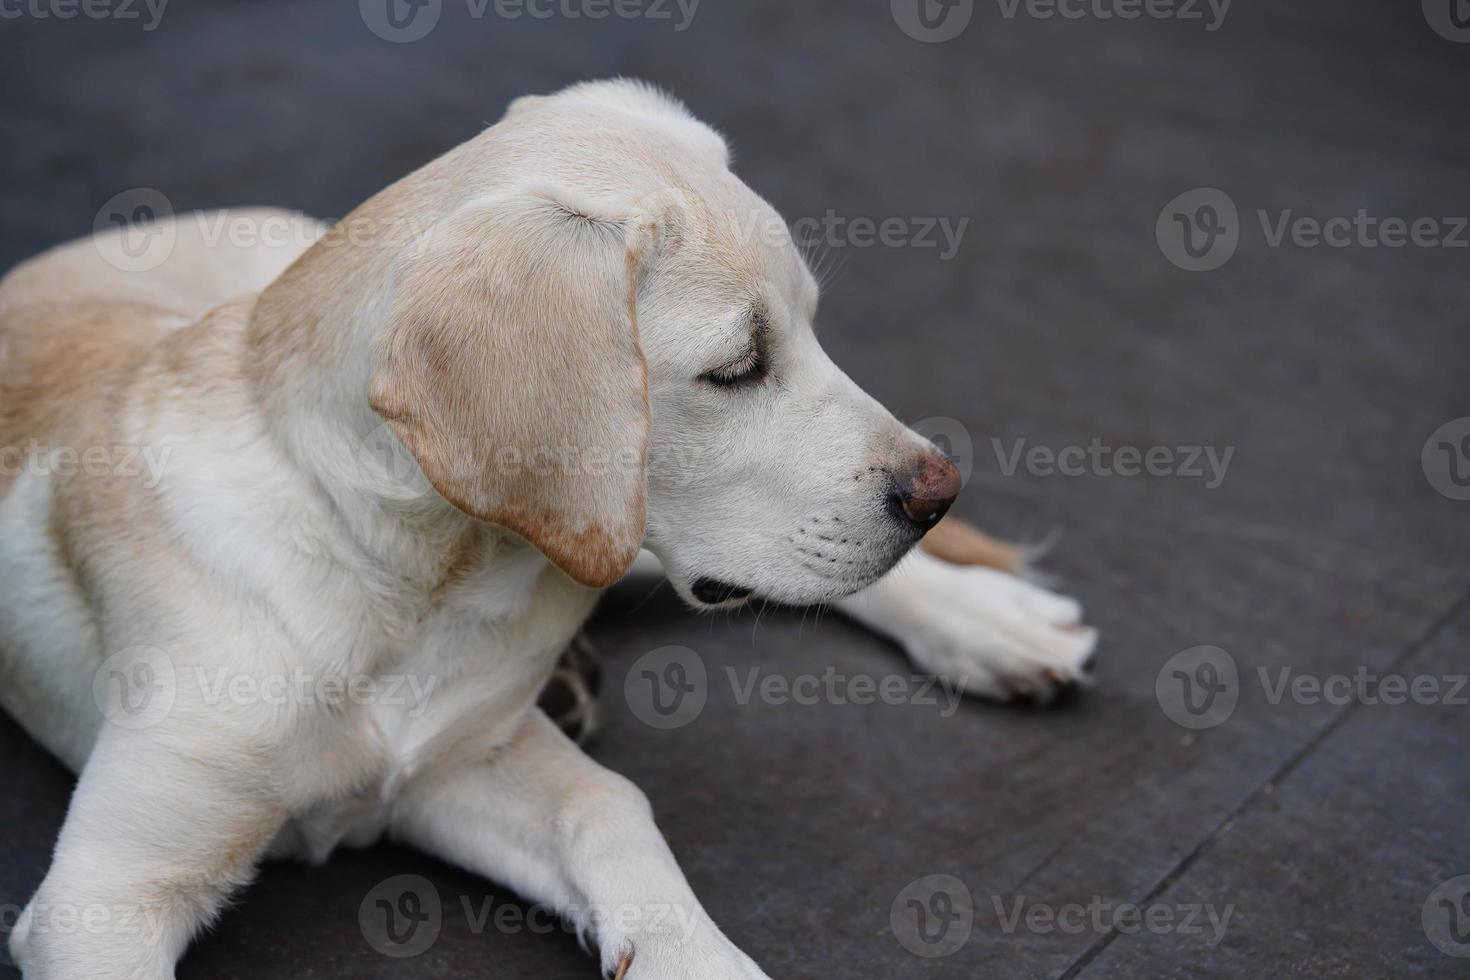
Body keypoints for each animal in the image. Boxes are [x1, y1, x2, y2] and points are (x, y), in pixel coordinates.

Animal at [0, 78, 1099, 980]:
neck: (407, 580)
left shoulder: (456, 761)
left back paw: (992, 621)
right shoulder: (104, 897)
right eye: (738, 367)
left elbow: (612, 805)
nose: (939, 492)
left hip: (609, 530)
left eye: (814, 329)